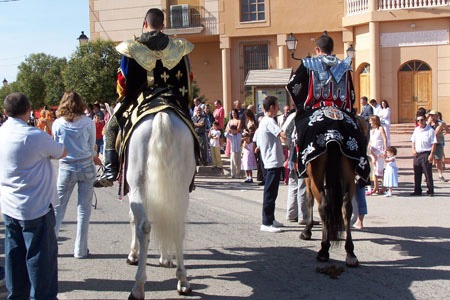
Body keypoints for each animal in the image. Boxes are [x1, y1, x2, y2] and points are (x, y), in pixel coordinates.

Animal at [126, 110, 197, 300]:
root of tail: (161, 115)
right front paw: (165, 258)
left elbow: (133, 219)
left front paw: (133, 254)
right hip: (180, 187)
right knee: (176, 226)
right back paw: (183, 281)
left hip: (136, 183)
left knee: (144, 227)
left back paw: (138, 287)